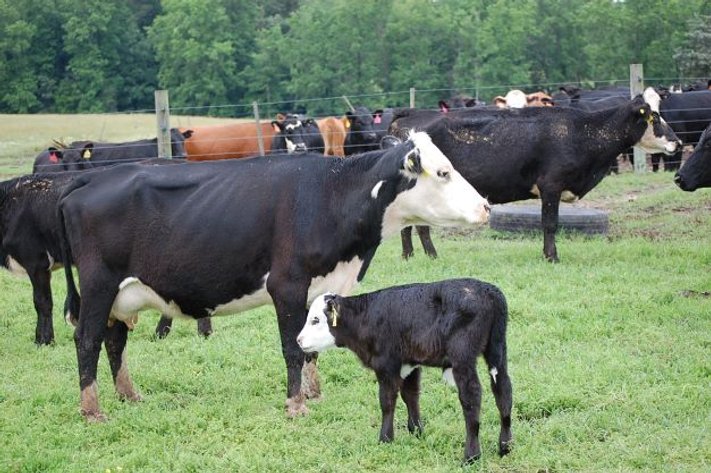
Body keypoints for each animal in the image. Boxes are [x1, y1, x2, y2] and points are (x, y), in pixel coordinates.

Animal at [58, 132, 492, 420]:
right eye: (443, 172)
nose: (486, 206)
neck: (332, 193)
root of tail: (94, 177)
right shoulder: (287, 285)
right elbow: (292, 347)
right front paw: (295, 404)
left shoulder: (322, 286)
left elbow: (312, 344)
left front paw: (314, 395)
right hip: (99, 284)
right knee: (87, 339)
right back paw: (92, 410)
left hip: (120, 295)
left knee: (114, 340)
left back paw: (129, 395)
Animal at [298, 278, 516, 462]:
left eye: (315, 320)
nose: (298, 340)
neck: (365, 317)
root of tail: (489, 291)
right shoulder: (410, 364)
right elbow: (411, 395)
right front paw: (417, 431)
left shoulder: (386, 365)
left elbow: (387, 402)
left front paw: (385, 438)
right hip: (497, 350)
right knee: (503, 391)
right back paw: (505, 446)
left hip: (463, 357)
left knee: (471, 398)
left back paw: (471, 455)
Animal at [392, 86, 680, 260]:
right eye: (654, 117)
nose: (676, 142)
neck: (582, 132)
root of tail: (411, 114)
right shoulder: (550, 184)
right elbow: (550, 223)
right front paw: (551, 256)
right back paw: (426, 255)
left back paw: (413, 255)